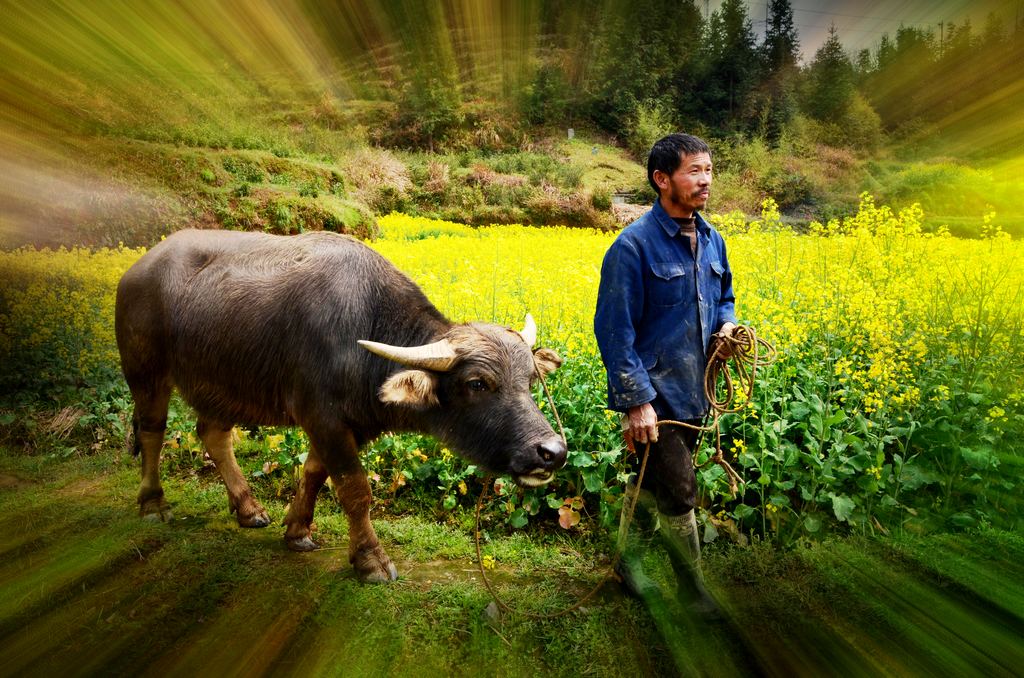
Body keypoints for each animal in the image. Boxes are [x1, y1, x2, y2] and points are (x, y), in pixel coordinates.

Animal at [118, 229, 569, 585]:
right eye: (477, 383)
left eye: (530, 381)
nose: (553, 452)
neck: (366, 329)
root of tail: (136, 270)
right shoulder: (323, 418)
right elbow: (355, 490)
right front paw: (370, 560)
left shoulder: (348, 424)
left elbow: (315, 472)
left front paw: (297, 530)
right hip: (146, 372)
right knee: (152, 430)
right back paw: (154, 504)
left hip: (220, 382)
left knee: (213, 435)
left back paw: (248, 509)